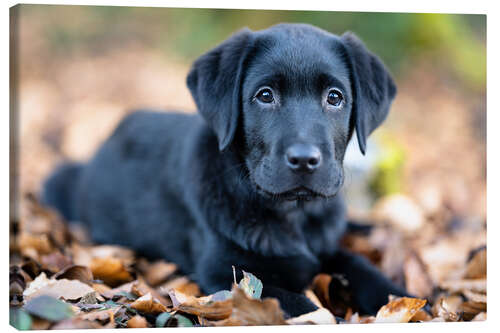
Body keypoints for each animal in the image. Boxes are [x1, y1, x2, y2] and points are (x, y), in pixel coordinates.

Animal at [43, 24, 408, 316]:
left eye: (334, 98)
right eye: (265, 95)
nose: (304, 159)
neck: (292, 214)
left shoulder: (326, 248)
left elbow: (361, 266)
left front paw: (403, 296)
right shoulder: (225, 273)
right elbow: (300, 305)